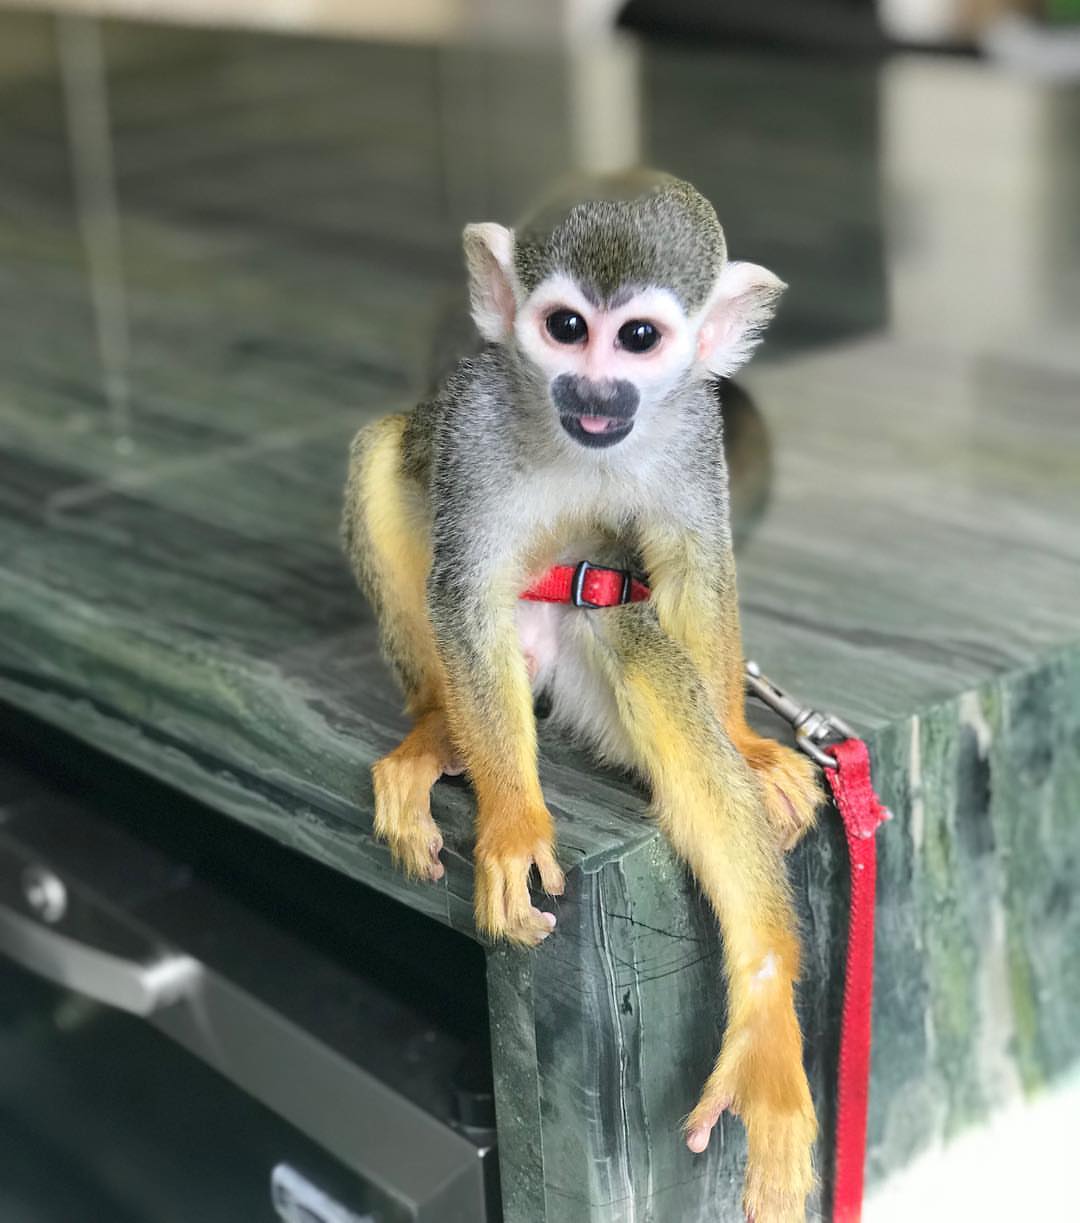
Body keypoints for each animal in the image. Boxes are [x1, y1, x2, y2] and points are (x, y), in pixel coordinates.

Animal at [342, 170, 823, 1223]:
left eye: (636, 338)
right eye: (566, 327)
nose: (596, 389)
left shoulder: (693, 430)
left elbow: (695, 571)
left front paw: (746, 744)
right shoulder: (476, 423)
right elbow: (462, 589)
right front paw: (518, 822)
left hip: (581, 649)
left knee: (639, 643)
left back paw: (765, 1012)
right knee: (384, 452)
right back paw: (440, 732)